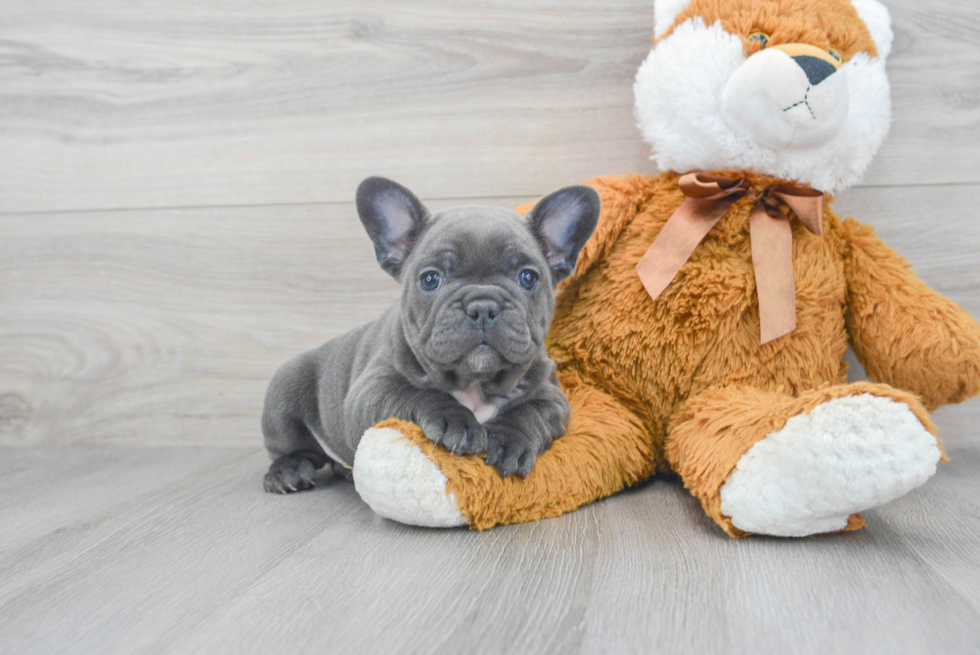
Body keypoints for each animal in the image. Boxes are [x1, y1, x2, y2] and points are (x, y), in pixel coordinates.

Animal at [262, 177, 596, 494]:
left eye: (528, 278)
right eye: (430, 279)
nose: (483, 305)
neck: (473, 382)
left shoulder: (553, 398)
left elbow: (530, 413)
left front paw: (508, 441)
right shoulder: (369, 392)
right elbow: (416, 394)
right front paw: (455, 419)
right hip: (284, 392)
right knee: (293, 448)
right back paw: (288, 471)